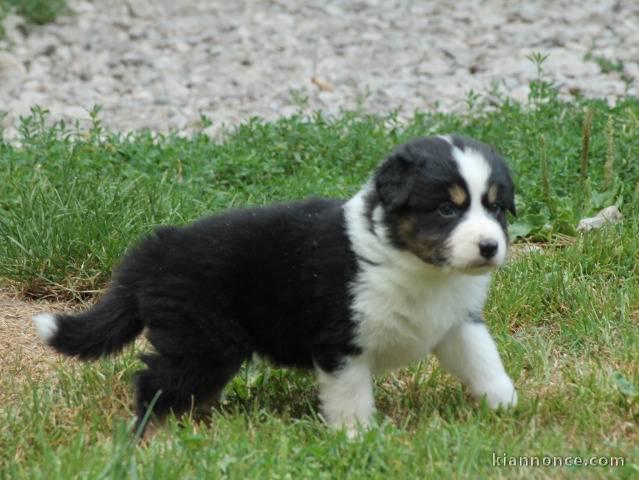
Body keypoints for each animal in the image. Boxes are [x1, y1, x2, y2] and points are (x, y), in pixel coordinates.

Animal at [32, 134, 516, 436]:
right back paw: (154, 436)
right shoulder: (340, 340)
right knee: (152, 382)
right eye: (447, 210)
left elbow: (483, 361)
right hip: (204, 340)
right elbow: (351, 396)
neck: (415, 265)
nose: (490, 247)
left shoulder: (457, 322)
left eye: (496, 208)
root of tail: (156, 248)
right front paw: (357, 437)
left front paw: (507, 405)